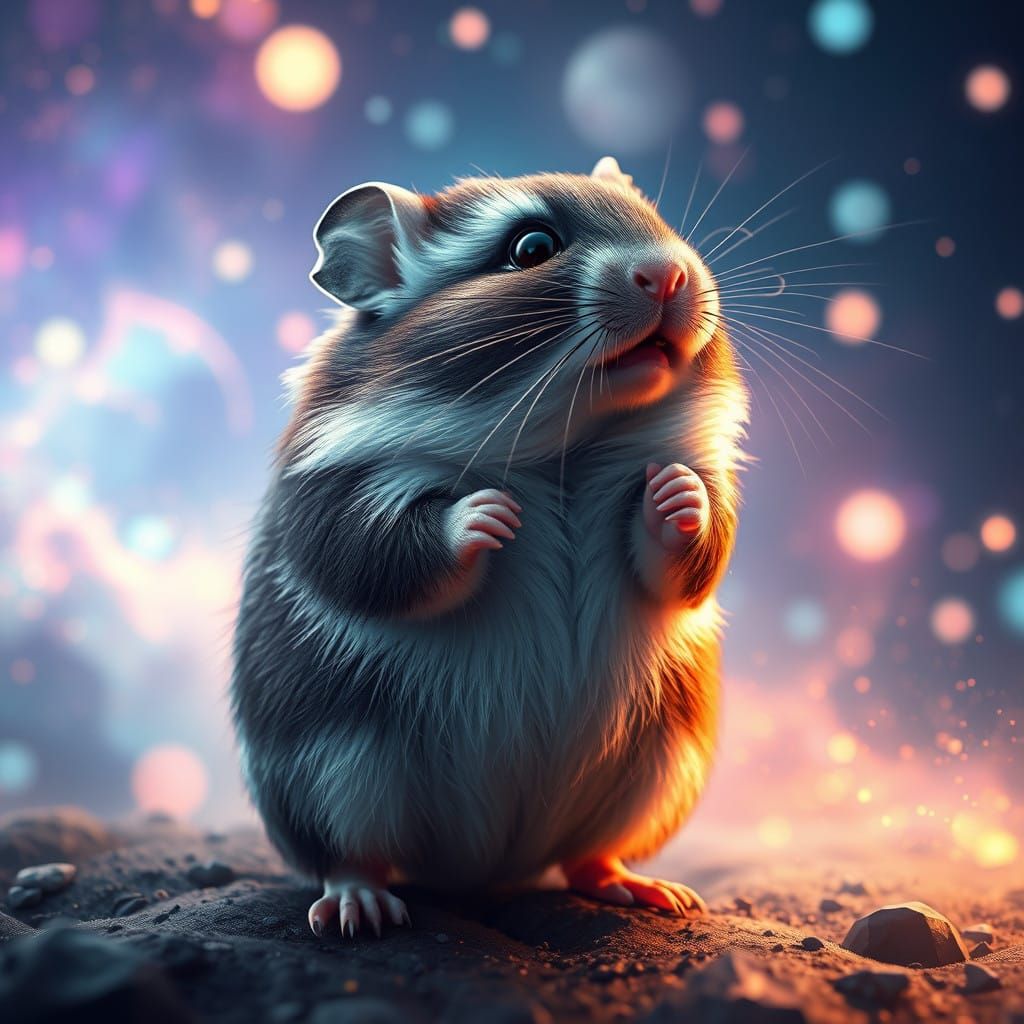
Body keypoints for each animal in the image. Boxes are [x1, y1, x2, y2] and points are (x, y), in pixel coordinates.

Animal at [231, 156, 748, 938]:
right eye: (531, 248)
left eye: (661, 223)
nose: (669, 273)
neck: (567, 445)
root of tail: (483, 869)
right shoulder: (330, 495)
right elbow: (374, 552)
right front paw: (490, 514)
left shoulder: (704, 478)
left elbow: (695, 554)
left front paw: (675, 495)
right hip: (329, 772)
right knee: (349, 857)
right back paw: (359, 910)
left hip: (656, 769)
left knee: (588, 857)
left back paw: (647, 889)